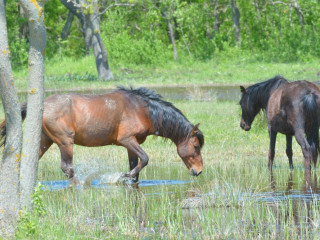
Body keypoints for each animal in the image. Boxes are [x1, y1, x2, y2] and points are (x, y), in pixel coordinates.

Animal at [0, 87, 205, 183]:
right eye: (196, 146)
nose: (199, 171)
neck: (143, 110)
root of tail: (42, 105)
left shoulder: (131, 145)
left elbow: (137, 167)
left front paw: (128, 179)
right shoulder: (126, 140)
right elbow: (145, 159)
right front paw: (122, 176)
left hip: (45, 140)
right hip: (65, 142)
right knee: (68, 168)